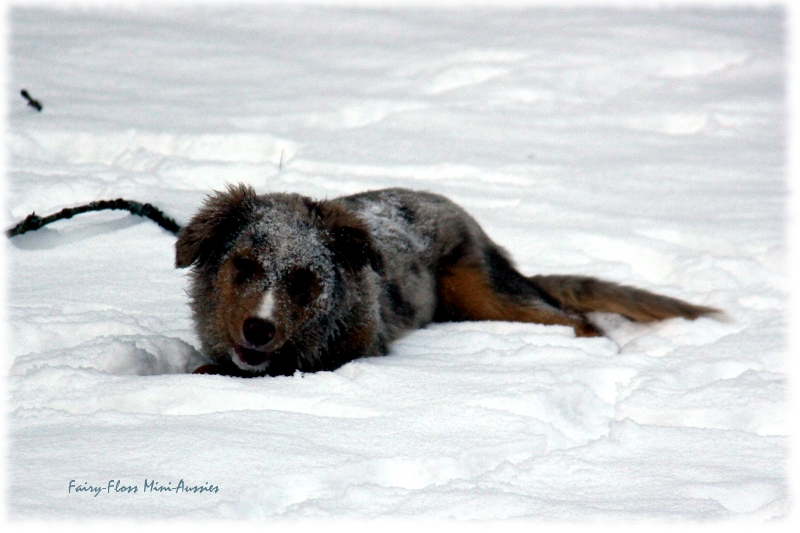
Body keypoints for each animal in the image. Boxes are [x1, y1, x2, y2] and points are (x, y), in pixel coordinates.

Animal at [177, 185, 720, 376]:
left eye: (304, 279)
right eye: (244, 265)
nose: (259, 328)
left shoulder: (362, 350)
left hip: (481, 292)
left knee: (576, 319)